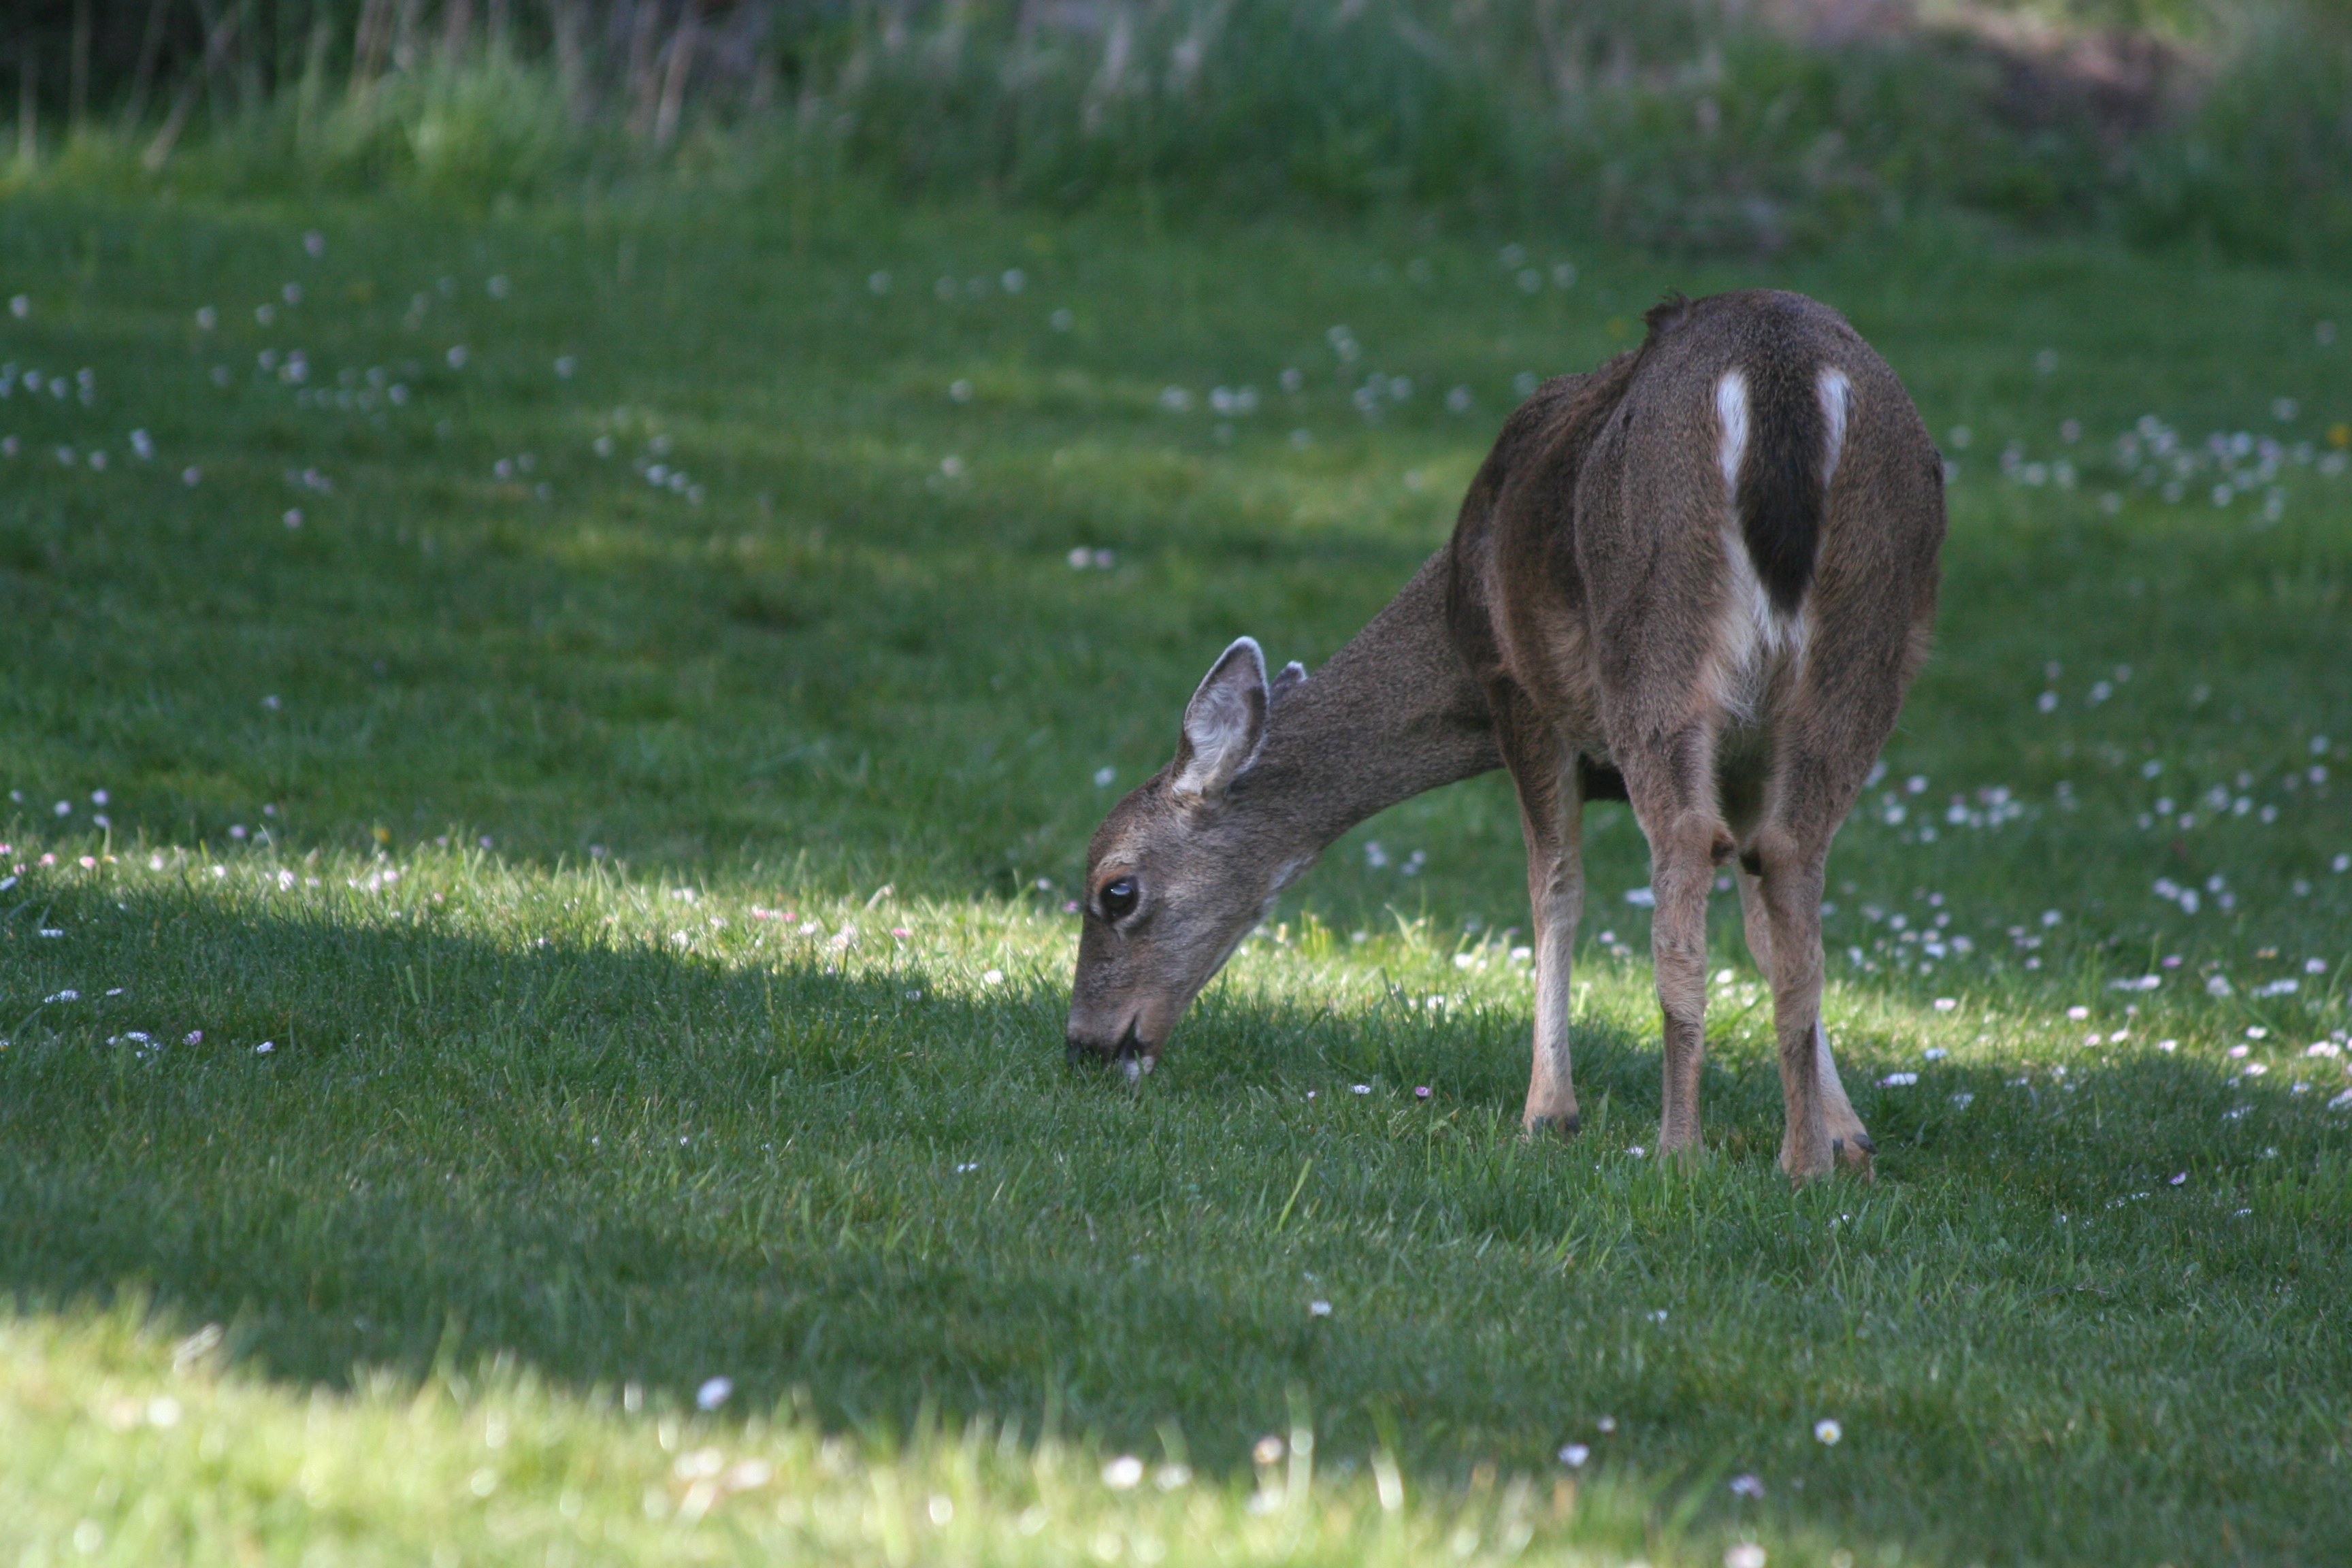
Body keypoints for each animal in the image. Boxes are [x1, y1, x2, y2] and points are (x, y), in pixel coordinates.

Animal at [1066, 290, 1944, 1180]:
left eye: (1116, 890)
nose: (1088, 1046)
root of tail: (1787, 379)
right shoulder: (1744, 752)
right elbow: (1765, 928)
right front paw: (1847, 1133)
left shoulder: (1517, 688)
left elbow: (1553, 888)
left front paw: (1548, 1113)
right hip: (1869, 644)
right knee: (1792, 855)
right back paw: (1802, 1164)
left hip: (1655, 638)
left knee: (1687, 850)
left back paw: (1678, 1148)